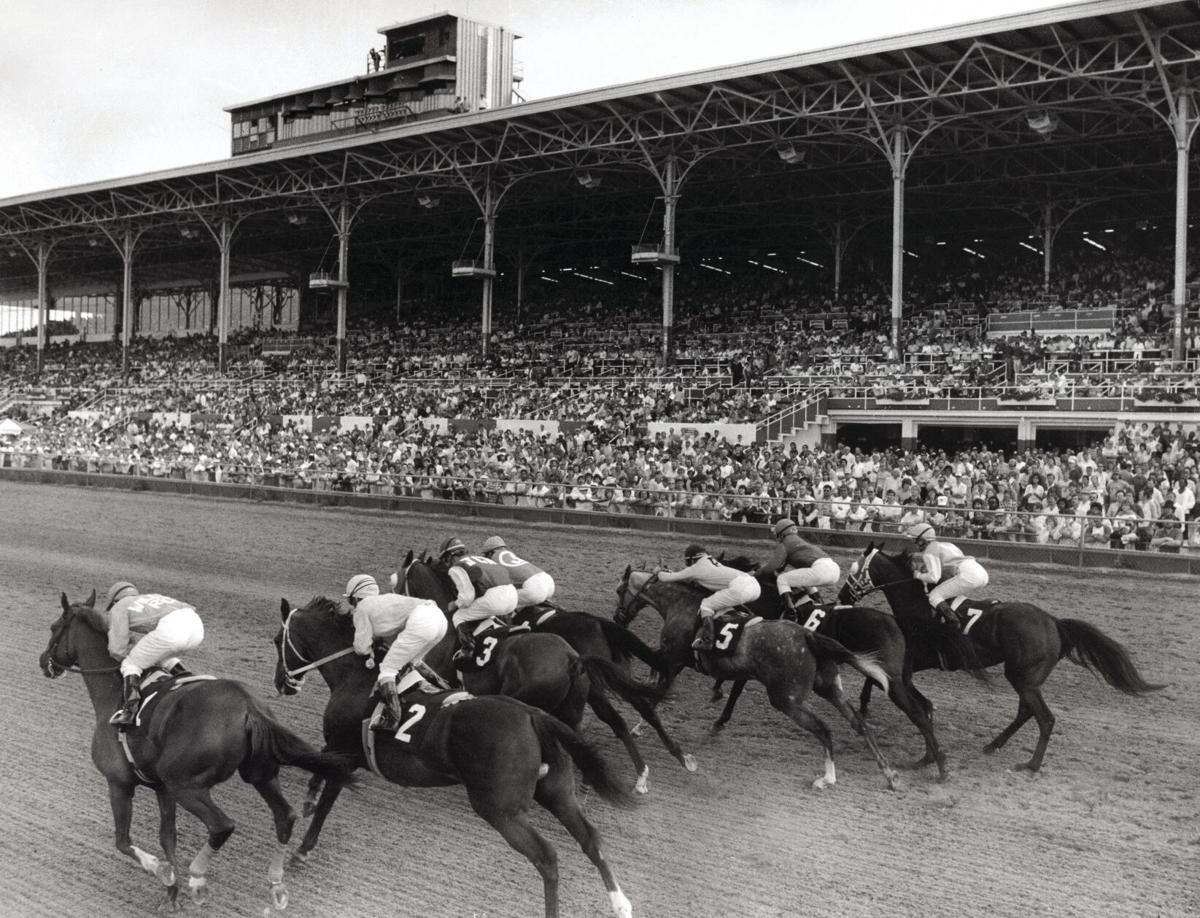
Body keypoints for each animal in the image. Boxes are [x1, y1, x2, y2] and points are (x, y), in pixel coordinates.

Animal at [42, 595, 350, 912]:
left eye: (54, 628)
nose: (44, 662)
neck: (114, 691)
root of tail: (249, 707)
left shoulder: (119, 783)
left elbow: (122, 841)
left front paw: (164, 872)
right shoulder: (162, 788)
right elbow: (168, 838)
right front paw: (170, 894)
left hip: (187, 785)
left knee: (222, 825)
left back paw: (198, 879)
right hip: (259, 774)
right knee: (285, 817)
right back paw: (276, 885)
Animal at [274, 595, 638, 916]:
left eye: (278, 639)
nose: (281, 684)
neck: (355, 675)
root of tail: (532, 715)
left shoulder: (343, 750)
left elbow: (326, 793)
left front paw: (301, 850)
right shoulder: (341, 751)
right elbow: (318, 767)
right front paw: (308, 800)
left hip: (500, 808)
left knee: (547, 858)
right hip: (556, 791)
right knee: (590, 839)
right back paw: (620, 903)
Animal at [403, 547, 681, 792]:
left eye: (400, 581)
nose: (620, 615)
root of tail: (597, 624)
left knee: (614, 719)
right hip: (608, 681)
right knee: (636, 710)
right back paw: (663, 764)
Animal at [844, 540, 1161, 768]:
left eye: (854, 571)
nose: (842, 596)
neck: (918, 604)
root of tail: (1054, 623)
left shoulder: (918, 659)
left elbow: (875, 677)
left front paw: (864, 705)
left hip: (1022, 676)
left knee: (1044, 718)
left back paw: (1031, 764)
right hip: (1026, 677)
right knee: (1026, 712)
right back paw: (994, 745)